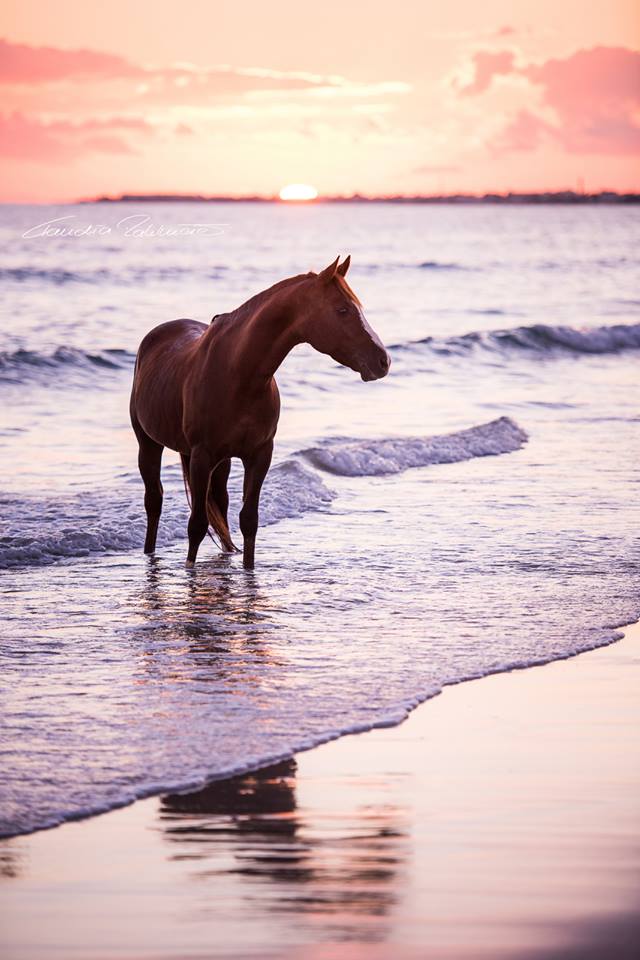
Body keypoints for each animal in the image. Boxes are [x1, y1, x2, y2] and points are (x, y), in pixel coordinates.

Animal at [130, 256, 390, 568]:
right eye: (343, 310)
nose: (383, 360)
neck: (239, 373)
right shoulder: (202, 456)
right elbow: (197, 525)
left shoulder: (259, 455)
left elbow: (248, 520)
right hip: (149, 444)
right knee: (154, 501)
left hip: (220, 461)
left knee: (220, 502)